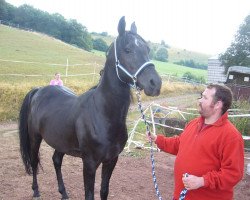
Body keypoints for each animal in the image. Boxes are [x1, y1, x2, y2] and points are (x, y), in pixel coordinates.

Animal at [18, 16, 161, 200]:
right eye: (128, 49)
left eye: (147, 49)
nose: (155, 83)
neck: (103, 115)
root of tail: (39, 90)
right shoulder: (90, 163)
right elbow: (90, 194)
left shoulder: (111, 160)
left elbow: (104, 191)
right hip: (35, 137)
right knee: (35, 161)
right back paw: (36, 191)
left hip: (60, 141)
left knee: (56, 160)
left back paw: (64, 193)